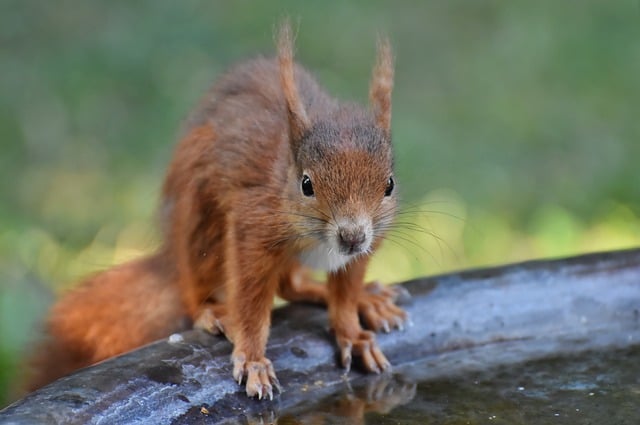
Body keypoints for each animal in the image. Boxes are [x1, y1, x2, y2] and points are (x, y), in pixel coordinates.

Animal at [27, 21, 408, 400]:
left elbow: (344, 296)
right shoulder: (253, 224)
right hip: (199, 226)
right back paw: (214, 311)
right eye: (307, 185)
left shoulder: (369, 239)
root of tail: (172, 257)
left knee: (292, 285)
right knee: (206, 292)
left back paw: (366, 298)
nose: (351, 236)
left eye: (389, 185)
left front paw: (353, 334)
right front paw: (253, 358)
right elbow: (252, 301)